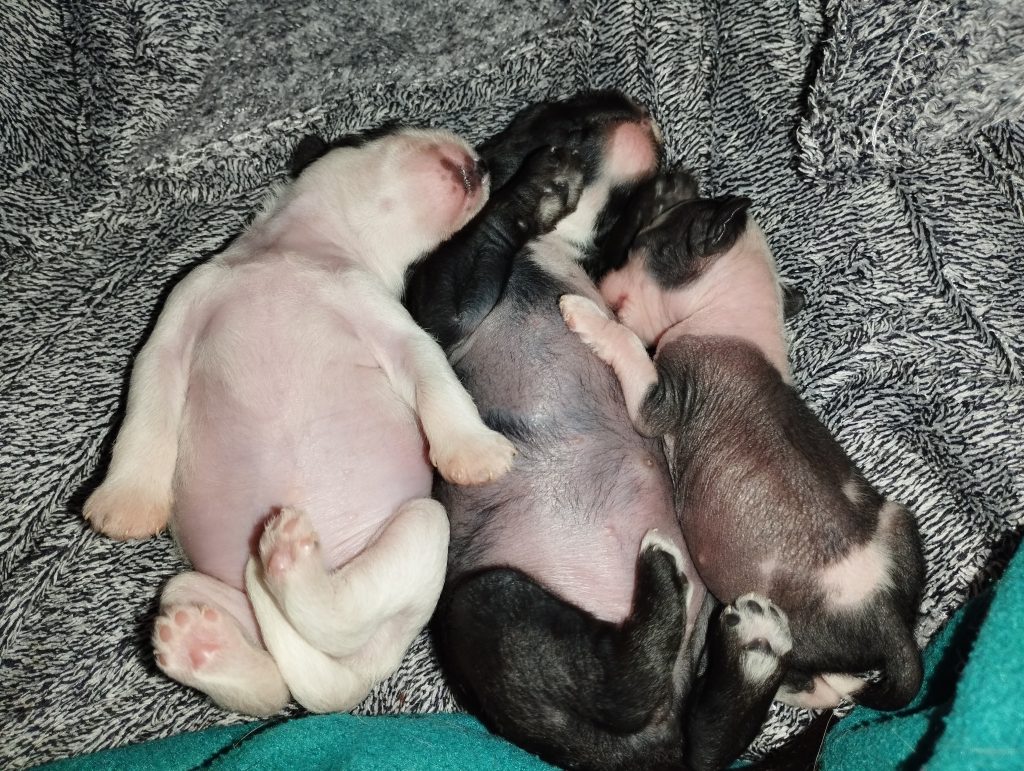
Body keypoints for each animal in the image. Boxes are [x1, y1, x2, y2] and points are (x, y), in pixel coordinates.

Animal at [83, 126, 516, 716]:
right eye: (379, 130)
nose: (481, 160)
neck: (289, 252)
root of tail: (352, 675)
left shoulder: (395, 329)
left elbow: (437, 380)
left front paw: (476, 452)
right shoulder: (172, 331)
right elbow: (143, 416)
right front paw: (126, 502)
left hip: (424, 527)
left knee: (337, 617)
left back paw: (291, 559)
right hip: (196, 593)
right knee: (270, 683)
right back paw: (205, 645)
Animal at [405, 92, 795, 771]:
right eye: (571, 119)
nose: (628, 102)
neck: (557, 247)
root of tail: (644, 749)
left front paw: (669, 188)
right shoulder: (439, 304)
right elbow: (484, 237)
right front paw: (540, 186)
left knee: (701, 741)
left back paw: (752, 646)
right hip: (486, 607)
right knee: (627, 690)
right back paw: (675, 586)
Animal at [561, 173, 925, 764]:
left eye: (647, 243)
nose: (598, 278)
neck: (736, 312)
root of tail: (887, 618)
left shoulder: (661, 398)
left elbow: (630, 349)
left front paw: (584, 314)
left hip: (793, 629)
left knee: (809, 681)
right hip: (900, 523)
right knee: (837, 683)